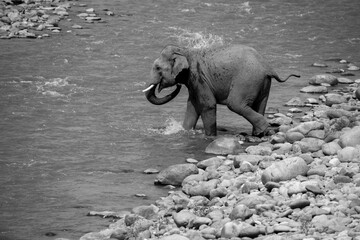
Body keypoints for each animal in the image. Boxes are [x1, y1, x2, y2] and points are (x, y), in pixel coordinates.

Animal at [142, 44, 300, 136]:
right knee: (260, 104)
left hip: (246, 80)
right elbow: (192, 105)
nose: (177, 86)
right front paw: (184, 131)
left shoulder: (198, 77)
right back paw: (258, 134)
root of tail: (268, 67)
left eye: (157, 68)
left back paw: (262, 129)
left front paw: (210, 137)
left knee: (235, 104)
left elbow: (207, 105)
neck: (187, 52)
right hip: (263, 83)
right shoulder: (194, 82)